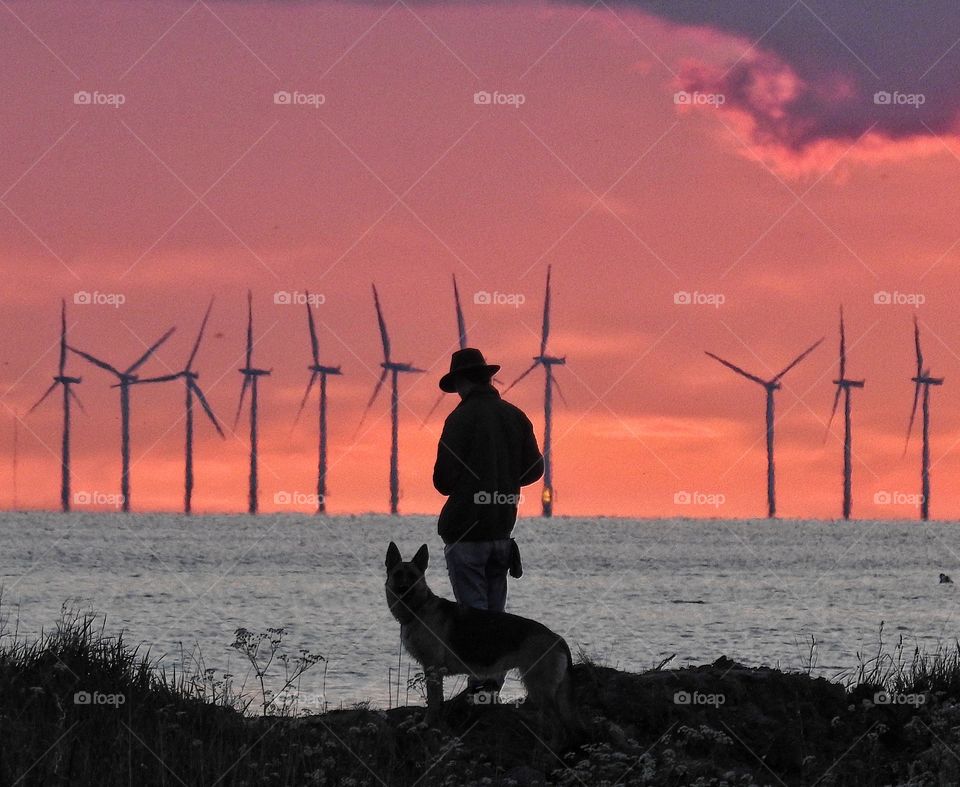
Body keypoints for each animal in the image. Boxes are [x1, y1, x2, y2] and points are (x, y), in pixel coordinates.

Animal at [386, 540, 580, 740]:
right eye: (398, 574)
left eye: (412, 576)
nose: (403, 589)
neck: (419, 608)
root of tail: (557, 637)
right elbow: (436, 701)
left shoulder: (433, 669)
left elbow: (433, 703)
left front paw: (424, 726)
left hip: (538, 687)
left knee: (558, 724)